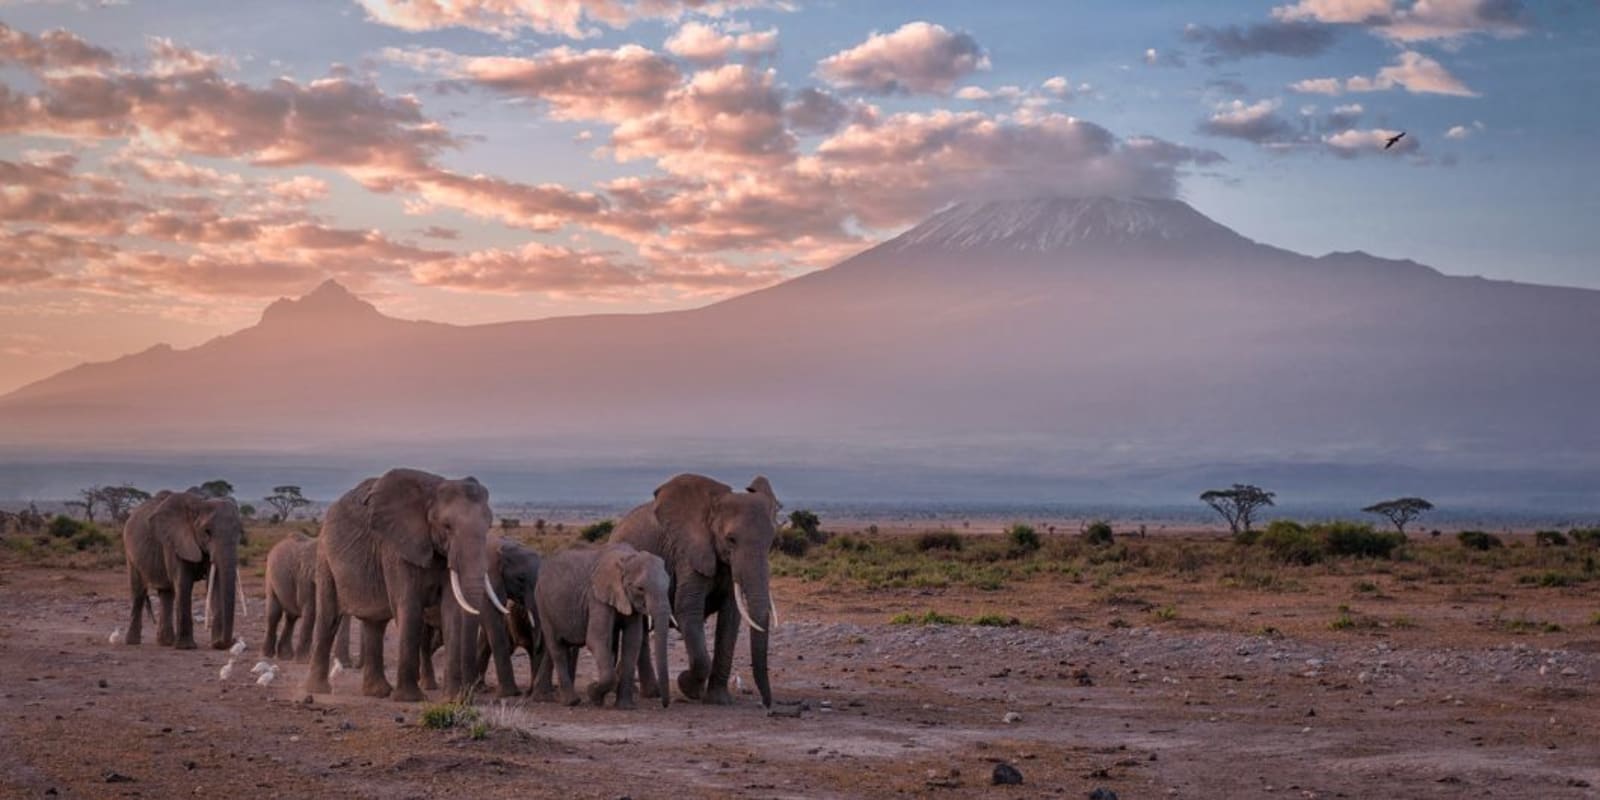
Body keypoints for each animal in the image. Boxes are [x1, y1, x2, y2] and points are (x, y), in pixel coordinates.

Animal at [122, 490, 242, 651]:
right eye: (207, 531)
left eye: (239, 531)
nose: (228, 642)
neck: (199, 504)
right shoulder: (175, 542)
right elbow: (184, 583)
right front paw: (187, 647)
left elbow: (216, 584)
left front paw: (217, 644)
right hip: (130, 553)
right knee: (138, 592)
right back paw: (132, 642)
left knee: (166, 594)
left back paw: (166, 643)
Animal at [262, 533, 354, 665]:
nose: (350, 665)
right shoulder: (306, 578)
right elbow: (311, 611)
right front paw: (304, 661)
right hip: (270, 576)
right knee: (274, 613)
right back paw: (267, 655)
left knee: (292, 618)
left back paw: (286, 656)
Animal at [302, 468, 502, 703]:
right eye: (447, 527)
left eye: (489, 527)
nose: (467, 696)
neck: (432, 491)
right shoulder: (396, 548)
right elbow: (410, 607)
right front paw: (410, 698)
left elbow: (451, 611)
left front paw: (453, 699)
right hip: (325, 557)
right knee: (329, 617)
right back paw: (318, 690)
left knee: (375, 624)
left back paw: (378, 693)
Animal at [534, 543, 671, 709]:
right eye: (640, 588)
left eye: (668, 586)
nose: (664, 704)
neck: (626, 558)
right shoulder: (596, 597)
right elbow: (596, 639)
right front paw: (593, 693)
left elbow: (632, 642)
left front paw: (625, 707)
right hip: (542, 603)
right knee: (557, 647)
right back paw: (571, 702)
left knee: (554, 647)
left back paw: (543, 697)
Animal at [611, 474, 781, 707]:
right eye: (731, 539)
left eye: (771, 541)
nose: (767, 704)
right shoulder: (687, 554)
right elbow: (688, 609)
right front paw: (688, 686)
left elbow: (731, 617)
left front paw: (718, 700)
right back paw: (650, 692)